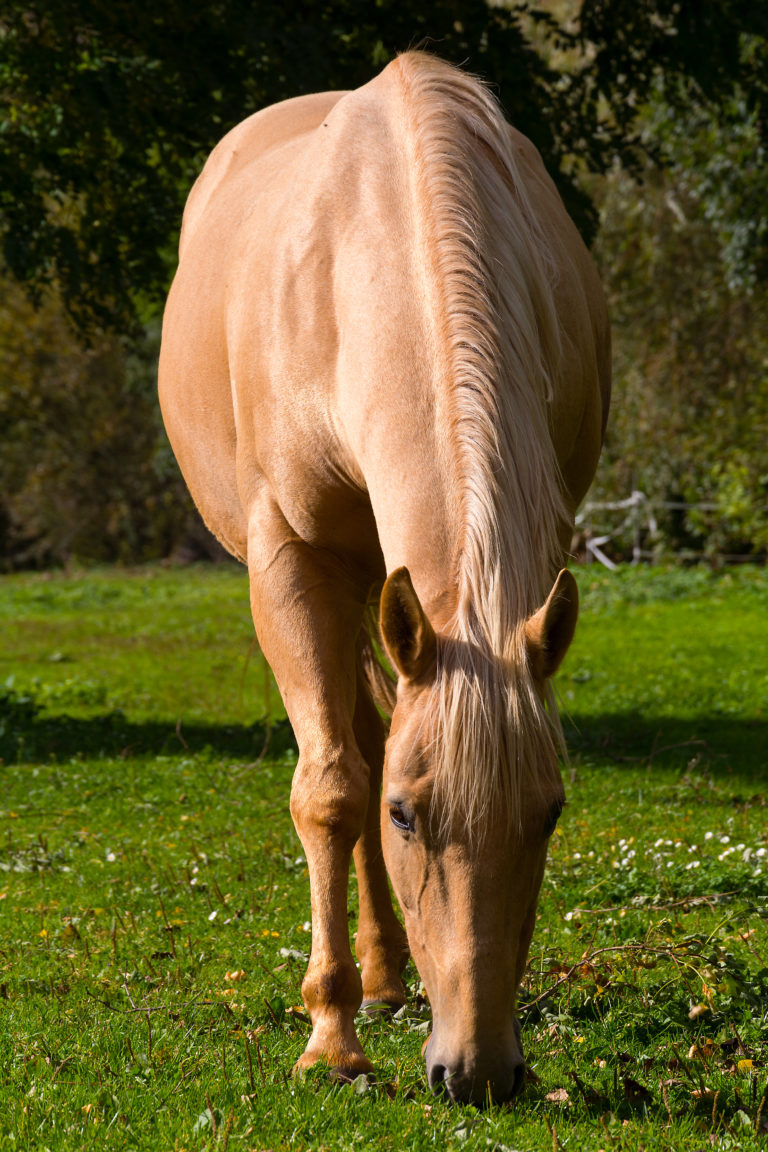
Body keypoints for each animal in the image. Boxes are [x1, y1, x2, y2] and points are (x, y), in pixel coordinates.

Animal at [159, 50, 610, 1105]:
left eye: (550, 813)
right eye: (409, 814)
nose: (476, 1071)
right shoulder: (294, 559)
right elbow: (332, 786)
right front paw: (330, 1039)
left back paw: (389, 975)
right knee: (355, 744)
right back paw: (367, 986)